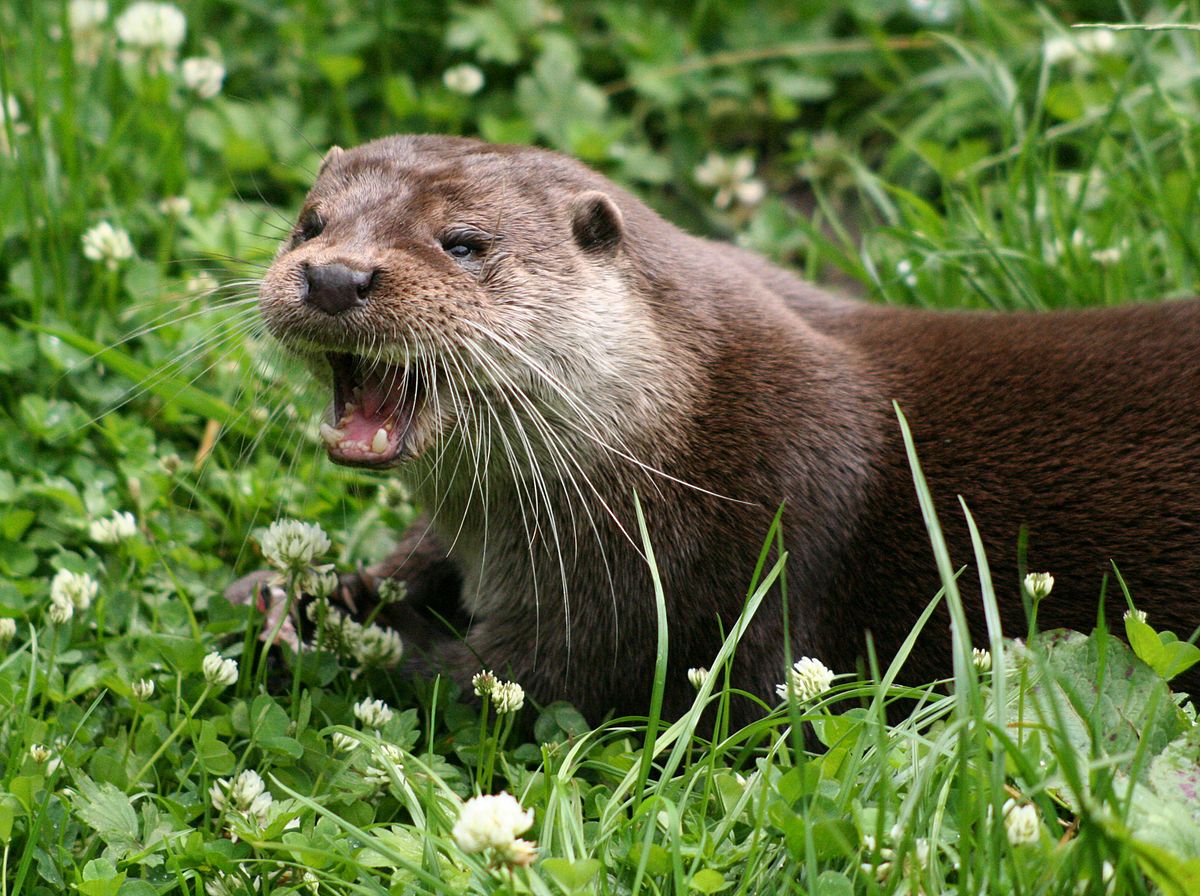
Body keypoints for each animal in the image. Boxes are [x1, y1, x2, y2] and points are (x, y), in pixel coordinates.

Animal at [231, 133, 1200, 719]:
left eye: (463, 243)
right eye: (307, 224)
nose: (334, 275)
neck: (681, 445)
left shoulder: (663, 594)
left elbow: (486, 679)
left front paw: (317, 624)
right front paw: (309, 584)